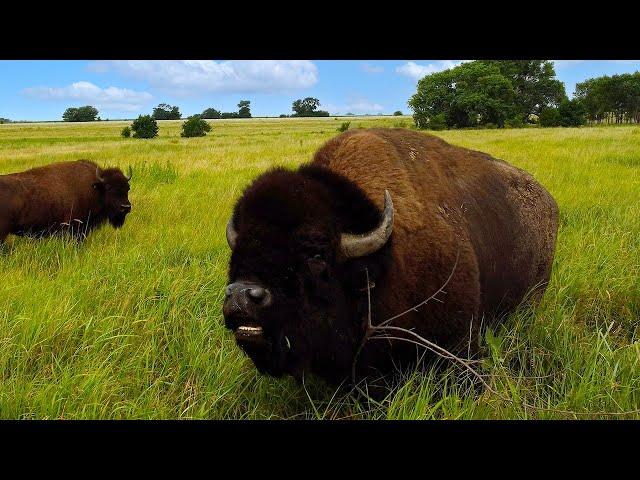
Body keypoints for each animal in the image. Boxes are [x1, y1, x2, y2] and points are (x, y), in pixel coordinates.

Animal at [222, 127, 556, 386]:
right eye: (238, 252)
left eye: (316, 254)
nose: (240, 295)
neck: (382, 262)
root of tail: (547, 200)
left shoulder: (459, 341)